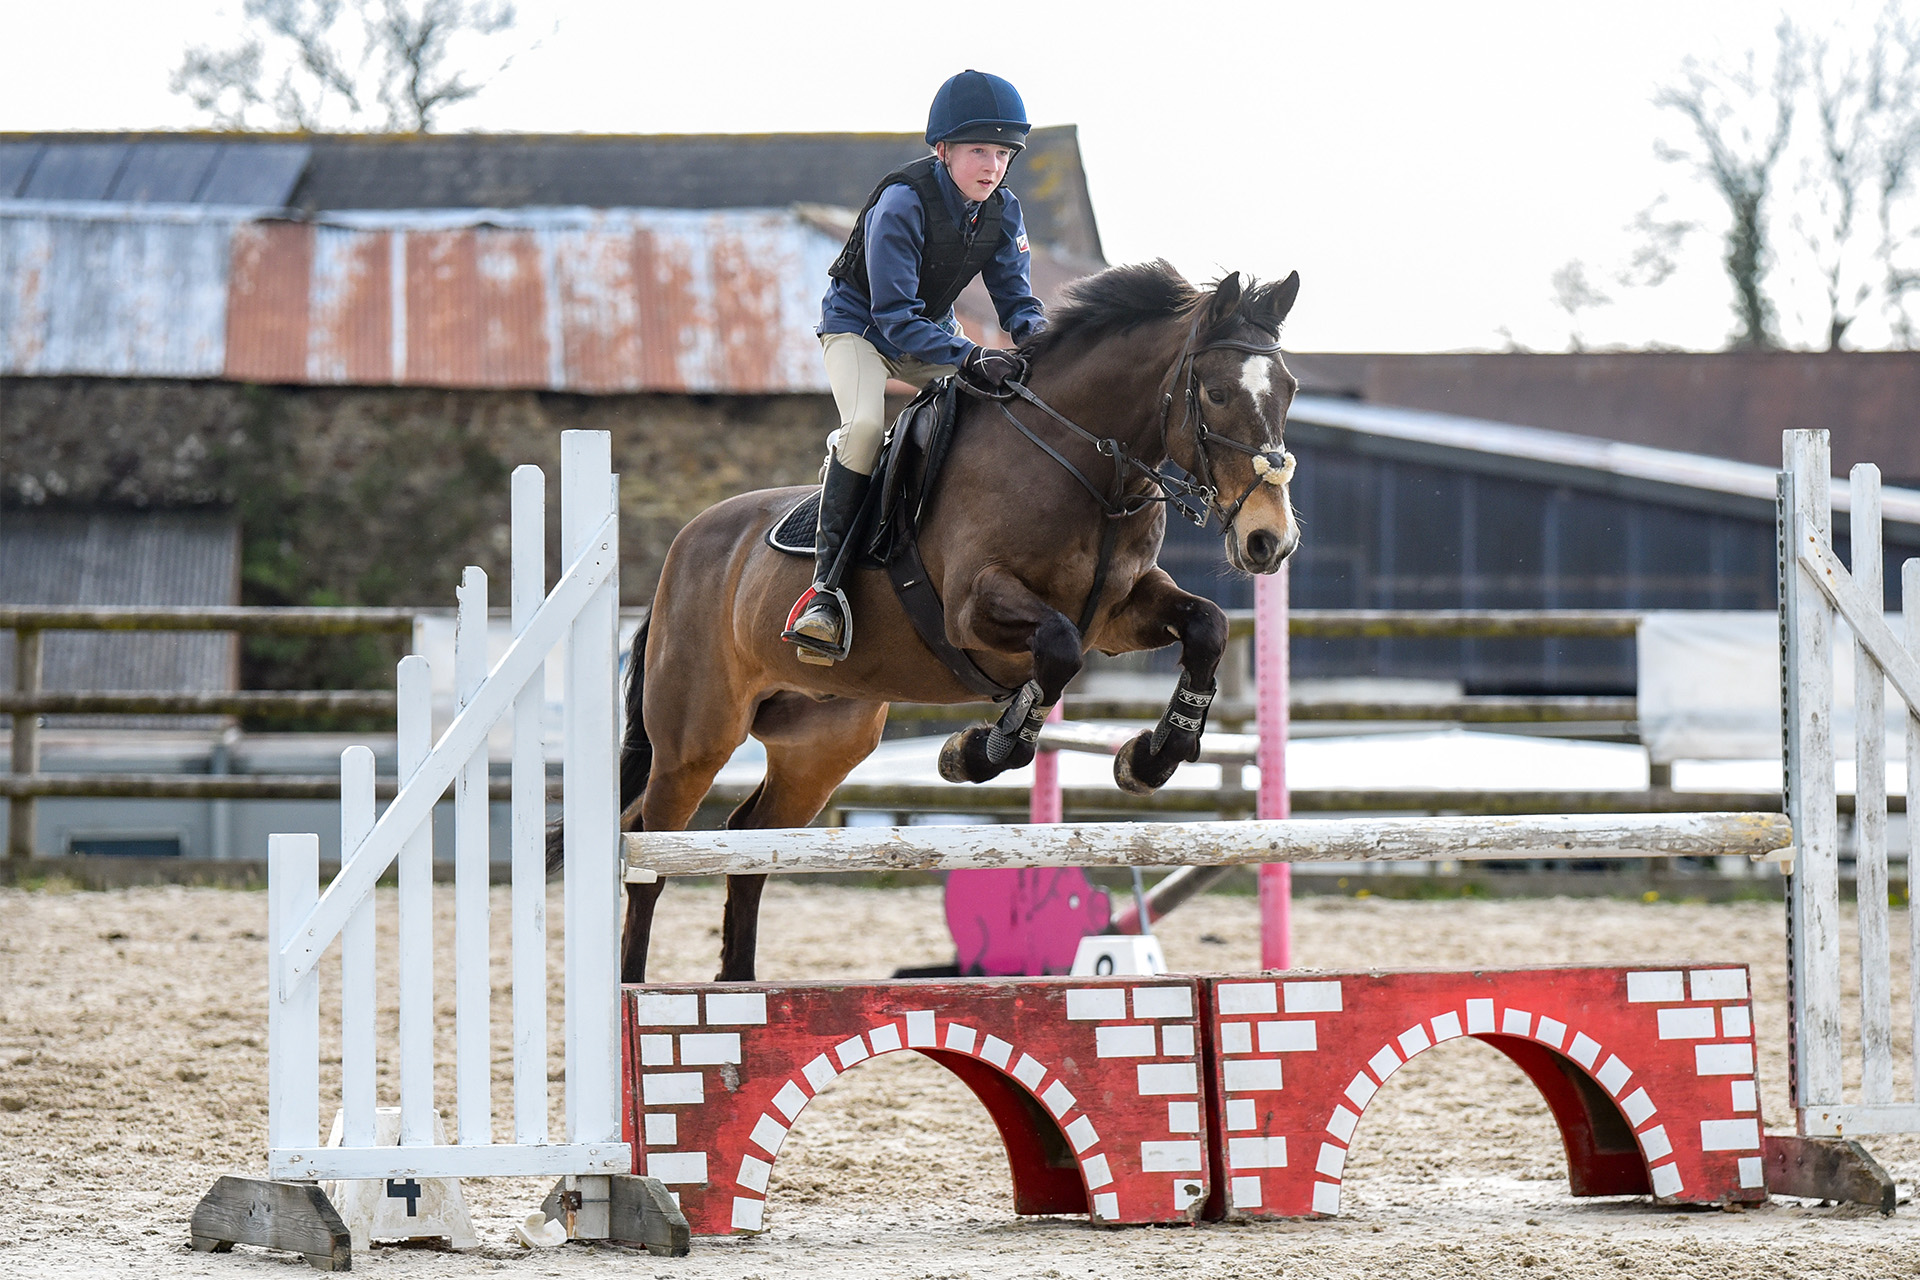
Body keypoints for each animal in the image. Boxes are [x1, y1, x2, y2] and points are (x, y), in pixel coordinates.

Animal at [622, 257, 1297, 982]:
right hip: (697, 736)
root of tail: (685, 547)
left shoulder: (1121, 613)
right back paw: (632, 989)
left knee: (750, 848)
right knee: (649, 848)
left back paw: (739, 993)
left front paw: (1151, 757)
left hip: (821, 744)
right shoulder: (974, 611)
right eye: (1218, 394)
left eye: (1288, 390)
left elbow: (1206, 626)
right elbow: (1058, 650)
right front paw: (978, 749)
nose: (1270, 541)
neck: (1083, 464)